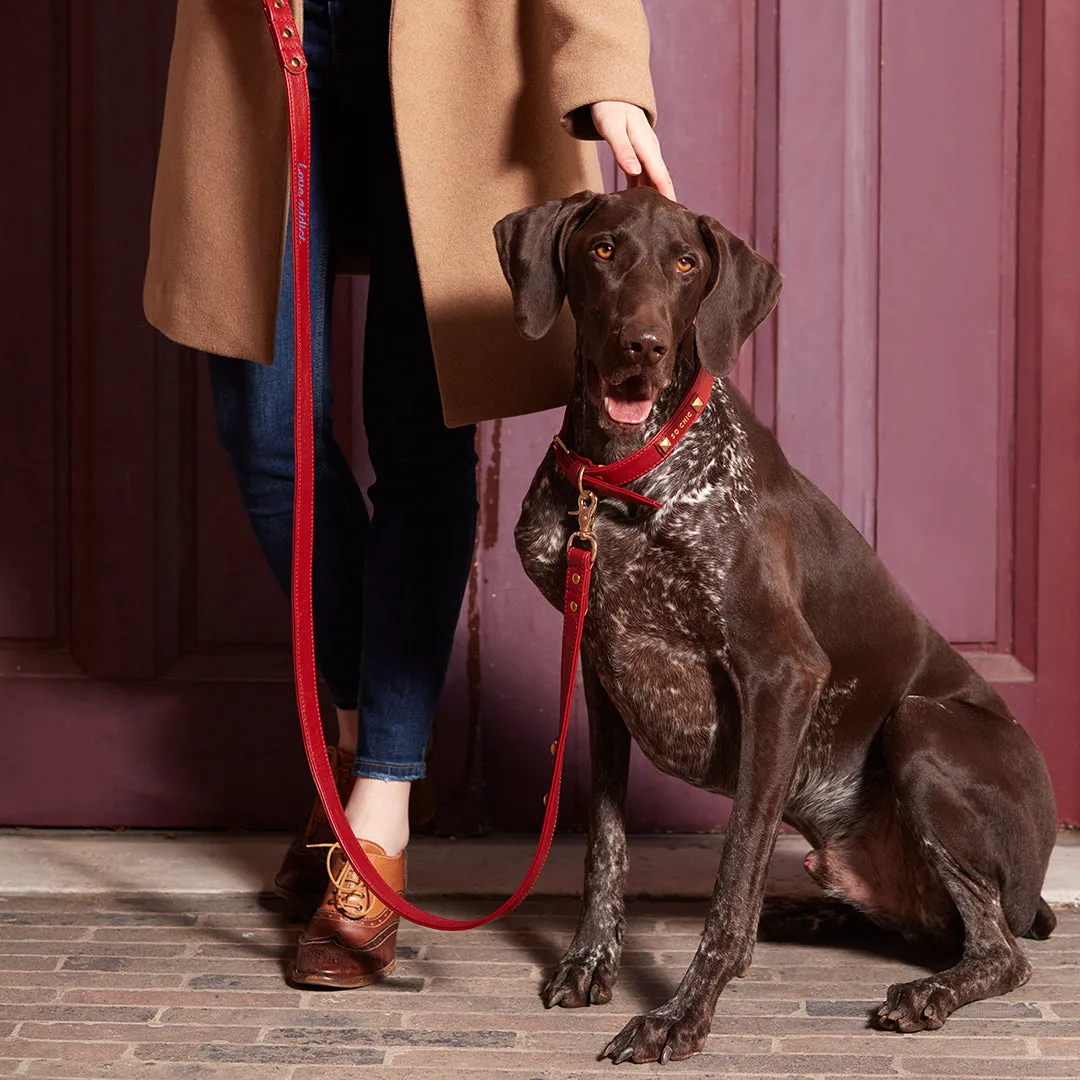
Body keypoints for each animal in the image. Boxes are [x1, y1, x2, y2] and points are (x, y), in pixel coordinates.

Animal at [494, 187, 1054, 1062]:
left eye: (685, 264)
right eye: (604, 249)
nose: (643, 345)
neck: (630, 473)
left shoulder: (781, 676)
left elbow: (732, 878)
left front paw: (680, 1014)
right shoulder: (599, 673)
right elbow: (606, 847)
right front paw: (591, 960)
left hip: (921, 728)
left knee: (999, 948)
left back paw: (927, 992)